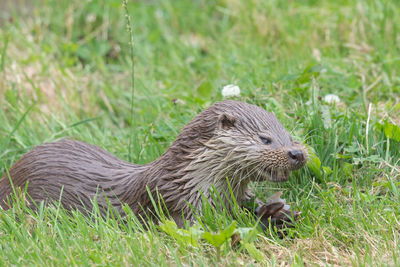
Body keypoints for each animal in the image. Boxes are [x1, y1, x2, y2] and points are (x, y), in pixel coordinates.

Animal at [0, 100, 308, 226]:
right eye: (265, 139)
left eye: (288, 134)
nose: (298, 153)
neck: (188, 181)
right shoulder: (176, 206)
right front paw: (267, 217)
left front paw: (281, 212)